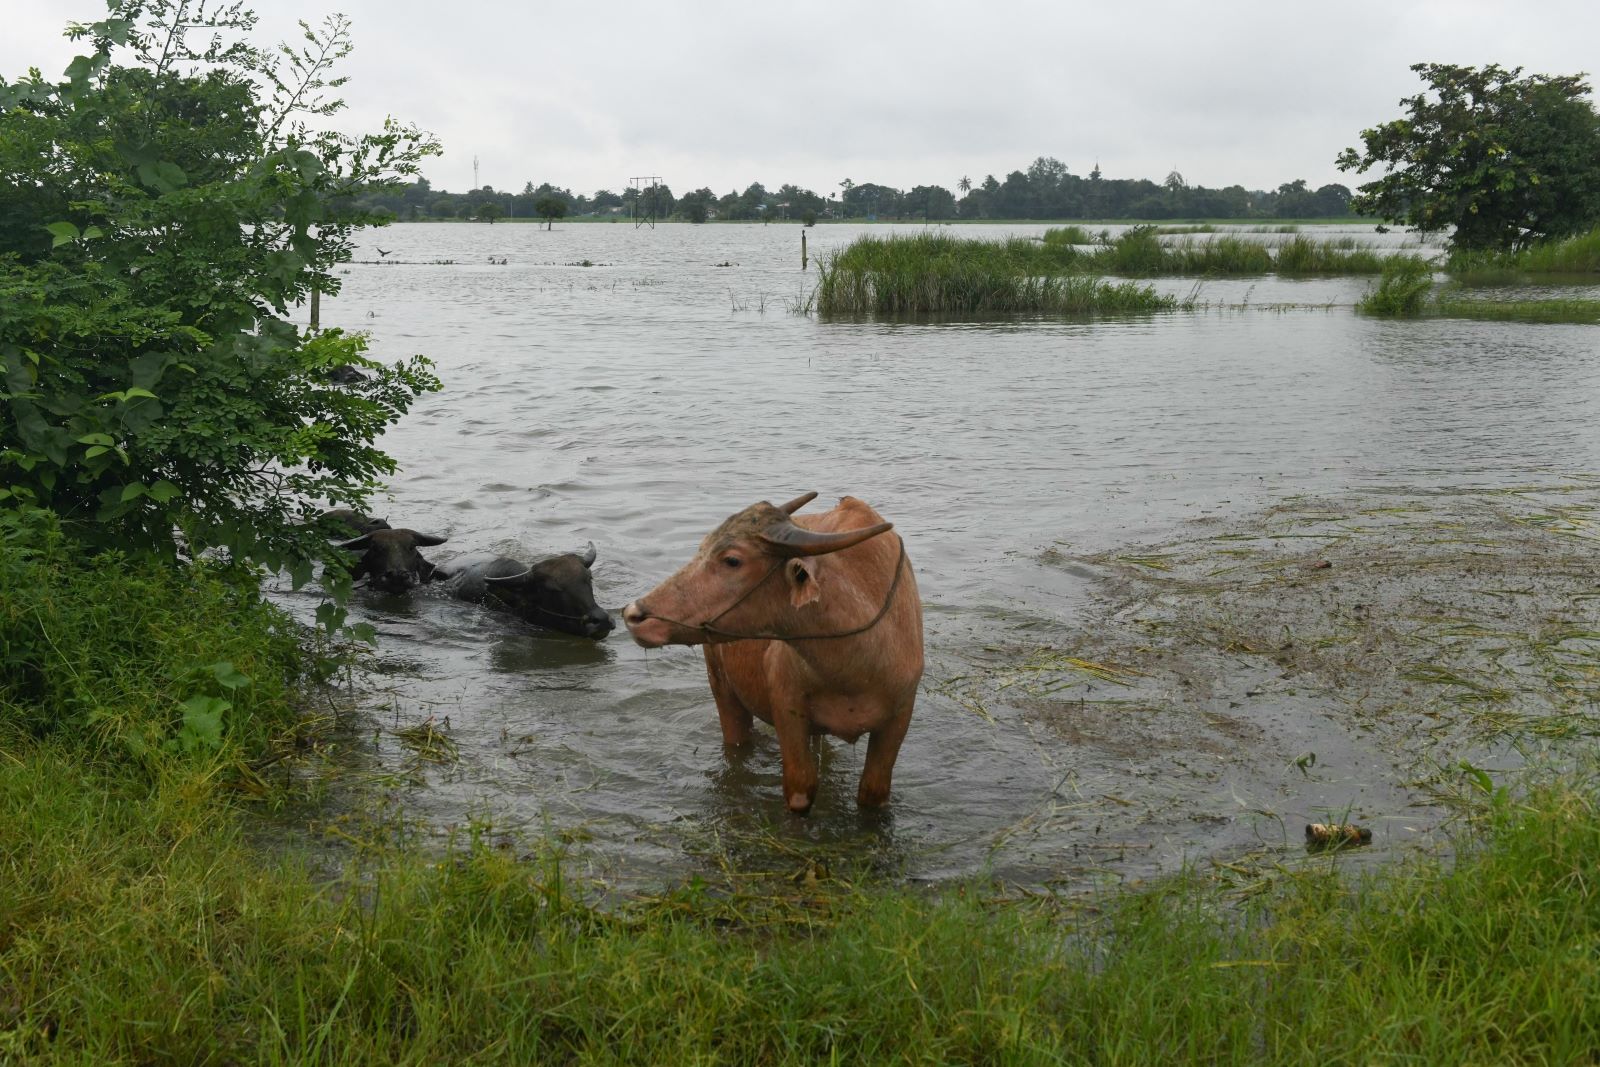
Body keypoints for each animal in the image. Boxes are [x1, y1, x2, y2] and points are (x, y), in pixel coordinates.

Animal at [624, 495, 928, 812]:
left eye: (732, 560)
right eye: (702, 547)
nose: (634, 614)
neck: (854, 669)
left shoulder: (898, 718)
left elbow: (873, 792)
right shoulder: (787, 710)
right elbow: (800, 790)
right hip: (721, 687)